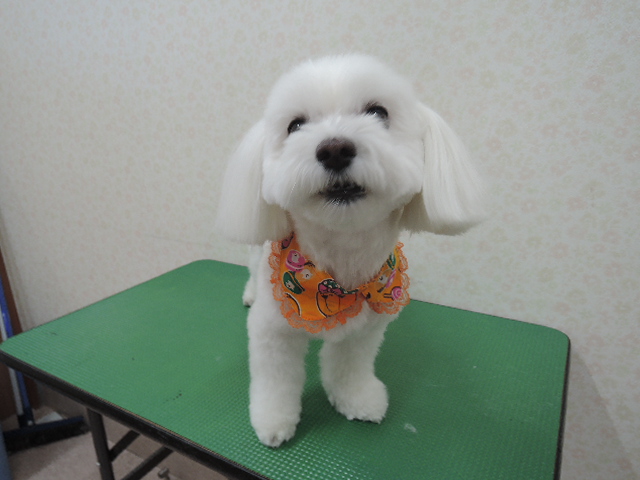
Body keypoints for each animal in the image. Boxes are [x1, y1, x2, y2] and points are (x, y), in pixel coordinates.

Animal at [215, 54, 484, 447]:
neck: (340, 259)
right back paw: (250, 293)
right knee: (251, 267)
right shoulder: (273, 333)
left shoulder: (366, 329)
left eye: (378, 112)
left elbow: (349, 367)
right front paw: (273, 420)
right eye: (295, 125)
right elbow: (276, 380)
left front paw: (356, 398)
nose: (334, 149)